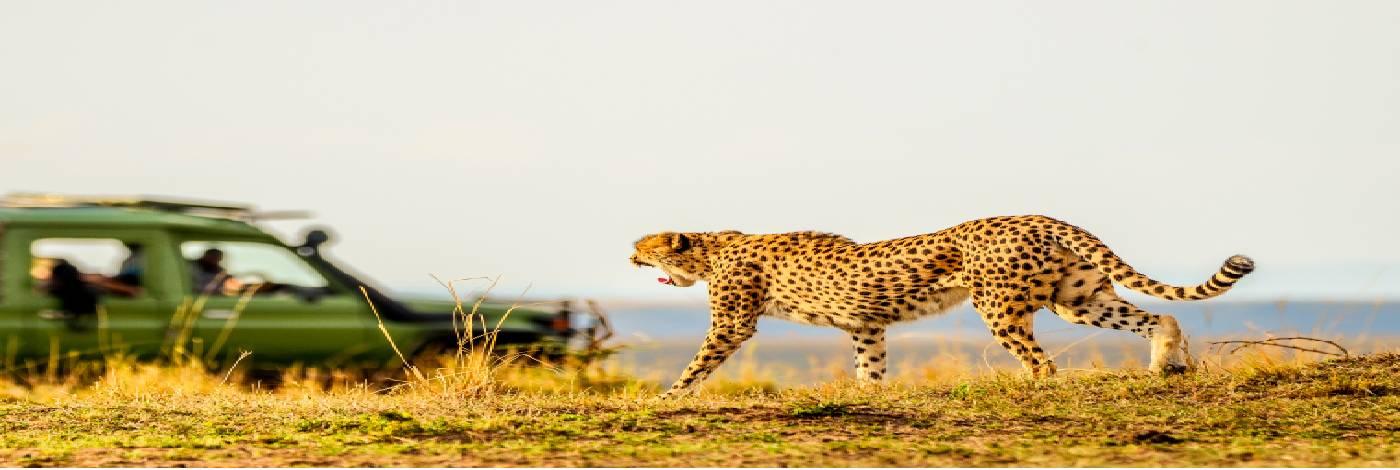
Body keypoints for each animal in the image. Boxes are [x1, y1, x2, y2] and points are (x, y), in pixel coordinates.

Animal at [630, 216, 1254, 397]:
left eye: (643, 246)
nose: (630, 256)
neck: (711, 247)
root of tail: (1038, 214)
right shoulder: (867, 324)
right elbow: (870, 367)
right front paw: (869, 396)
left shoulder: (733, 322)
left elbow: (700, 361)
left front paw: (670, 397)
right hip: (1077, 299)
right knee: (1160, 315)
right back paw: (1168, 365)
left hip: (999, 306)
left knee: (1043, 362)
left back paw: (1034, 387)